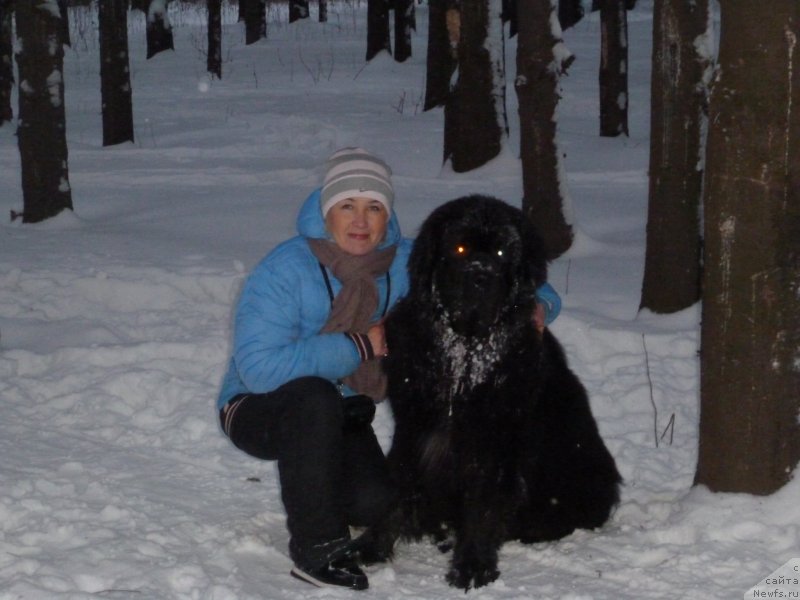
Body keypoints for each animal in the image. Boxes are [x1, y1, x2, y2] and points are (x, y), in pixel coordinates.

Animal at [360, 195, 620, 588]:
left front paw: (472, 566)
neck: (466, 354)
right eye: (460, 248)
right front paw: (367, 548)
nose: (481, 275)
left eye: (500, 251)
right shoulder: (416, 428)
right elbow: (397, 485)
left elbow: (483, 505)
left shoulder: (496, 439)